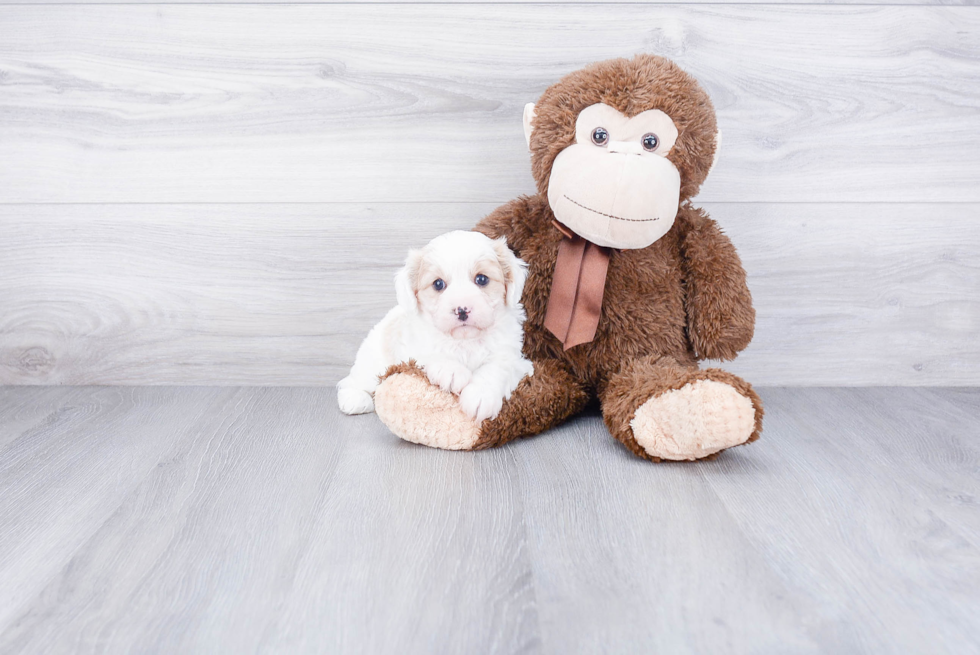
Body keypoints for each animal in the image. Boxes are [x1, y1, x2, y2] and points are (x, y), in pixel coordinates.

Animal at [338, 233, 536, 422]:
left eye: (481, 279)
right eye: (438, 284)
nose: (462, 310)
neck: (465, 340)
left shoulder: (512, 356)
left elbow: (496, 368)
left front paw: (480, 395)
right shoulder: (412, 346)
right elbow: (430, 353)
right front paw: (451, 370)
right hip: (372, 365)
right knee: (351, 382)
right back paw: (355, 399)